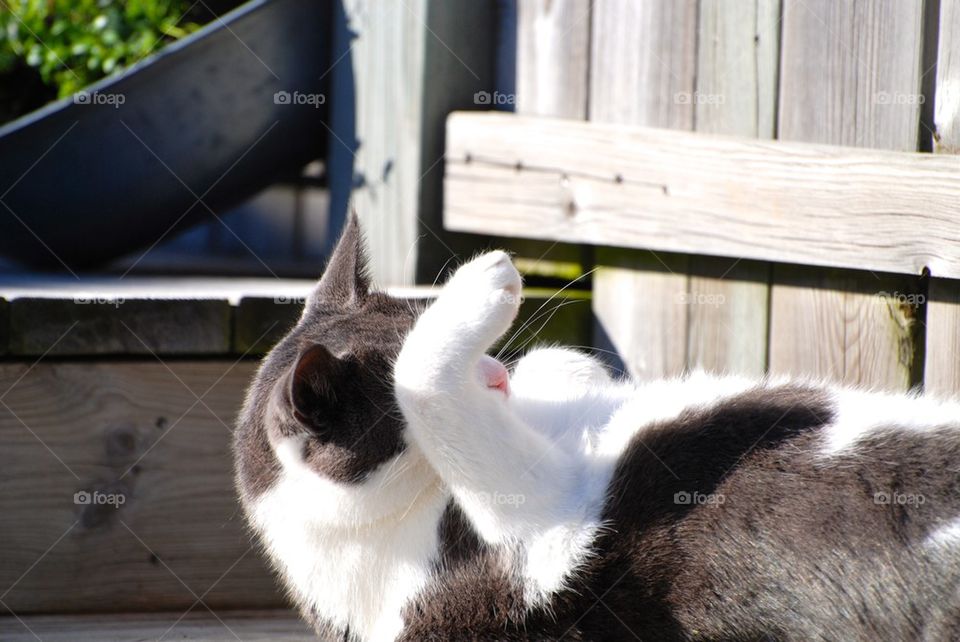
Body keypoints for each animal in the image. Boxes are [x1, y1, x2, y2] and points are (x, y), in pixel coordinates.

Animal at [236, 214, 960, 640]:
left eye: (418, 313)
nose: (495, 373)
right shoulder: (538, 542)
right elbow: (426, 384)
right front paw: (488, 280)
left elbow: (563, 366)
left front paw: (558, 370)